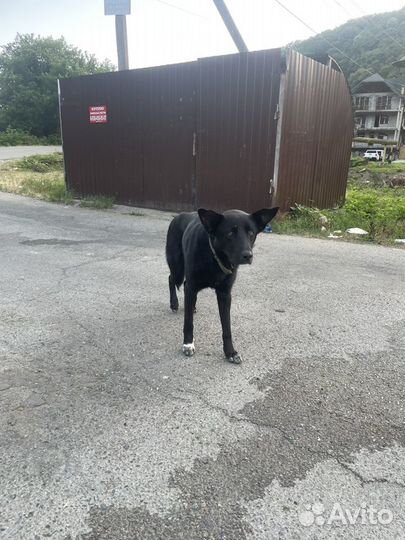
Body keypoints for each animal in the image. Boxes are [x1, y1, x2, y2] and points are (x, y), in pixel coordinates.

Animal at [165, 207, 278, 362]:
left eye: (251, 233)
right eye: (230, 233)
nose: (248, 255)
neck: (215, 258)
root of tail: (179, 215)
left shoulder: (225, 294)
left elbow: (226, 327)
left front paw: (230, 352)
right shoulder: (192, 287)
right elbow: (188, 323)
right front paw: (188, 344)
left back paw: (191, 306)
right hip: (177, 266)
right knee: (171, 278)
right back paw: (174, 303)